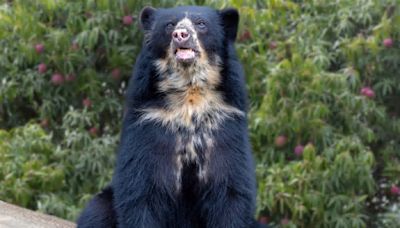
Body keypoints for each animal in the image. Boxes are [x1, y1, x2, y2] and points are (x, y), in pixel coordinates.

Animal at [77, 5, 262, 228]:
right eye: (170, 25)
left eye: (201, 23)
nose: (181, 35)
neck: (189, 96)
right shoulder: (150, 124)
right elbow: (142, 190)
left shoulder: (223, 125)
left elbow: (229, 190)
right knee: (97, 211)